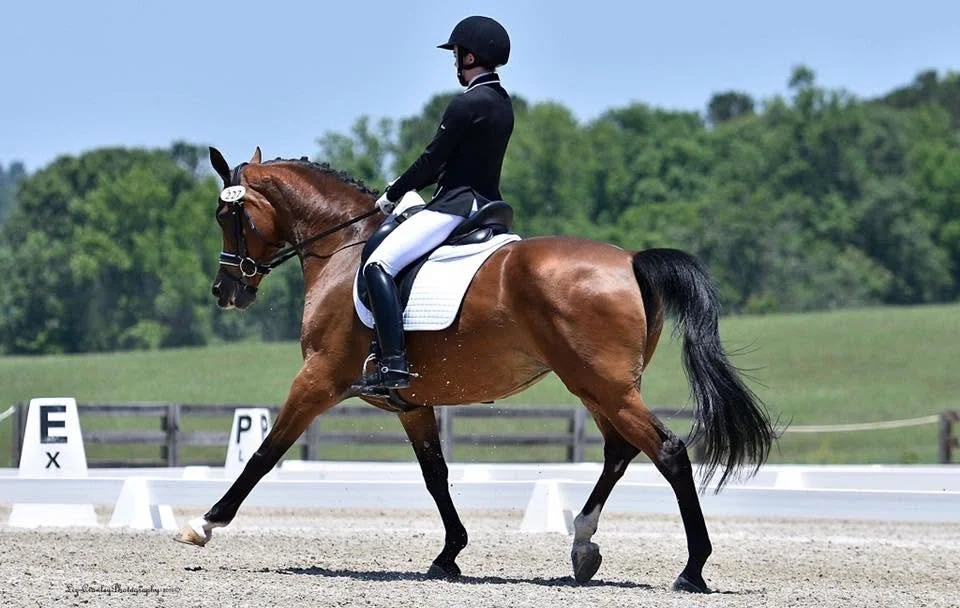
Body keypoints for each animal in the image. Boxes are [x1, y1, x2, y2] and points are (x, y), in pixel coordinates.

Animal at [175, 146, 776, 594]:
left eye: (228, 216)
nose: (225, 291)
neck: (344, 249)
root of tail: (630, 260)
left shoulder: (318, 380)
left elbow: (265, 453)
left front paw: (204, 523)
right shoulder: (411, 402)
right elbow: (435, 475)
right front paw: (448, 555)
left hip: (602, 385)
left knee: (668, 452)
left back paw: (692, 570)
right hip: (600, 387)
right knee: (621, 451)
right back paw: (583, 545)